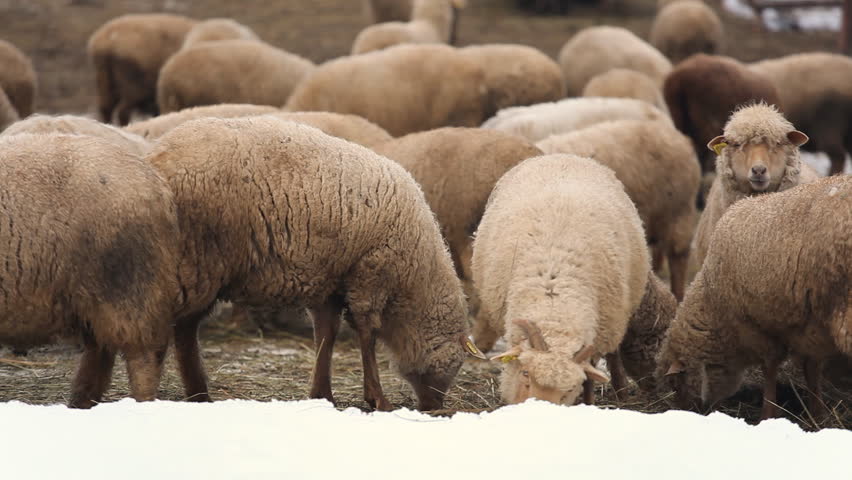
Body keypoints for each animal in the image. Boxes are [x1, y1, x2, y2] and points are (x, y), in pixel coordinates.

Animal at [0, 133, 180, 408]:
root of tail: (155, 180)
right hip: (92, 295)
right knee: (100, 355)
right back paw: (80, 402)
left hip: (128, 286)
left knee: (143, 356)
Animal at [145, 115, 484, 411]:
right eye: (454, 365)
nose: (434, 407)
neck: (415, 280)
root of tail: (158, 155)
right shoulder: (371, 272)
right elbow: (367, 334)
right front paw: (377, 398)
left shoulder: (330, 283)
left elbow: (326, 334)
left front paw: (322, 393)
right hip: (201, 260)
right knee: (180, 328)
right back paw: (188, 392)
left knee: (183, 327)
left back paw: (196, 393)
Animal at [472, 154, 650, 405]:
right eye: (525, 374)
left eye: (569, 390)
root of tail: (563, 155)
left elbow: (590, 378)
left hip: (618, 315)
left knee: (614, 353)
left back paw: (621, 391)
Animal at [656, 175, 851, 420]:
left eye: (676, 384)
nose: (691, 412)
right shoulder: (808, 330)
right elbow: (812, 371)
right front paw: (817, 414)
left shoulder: (753, 326)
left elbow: (769, 368)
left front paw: (767, 413)